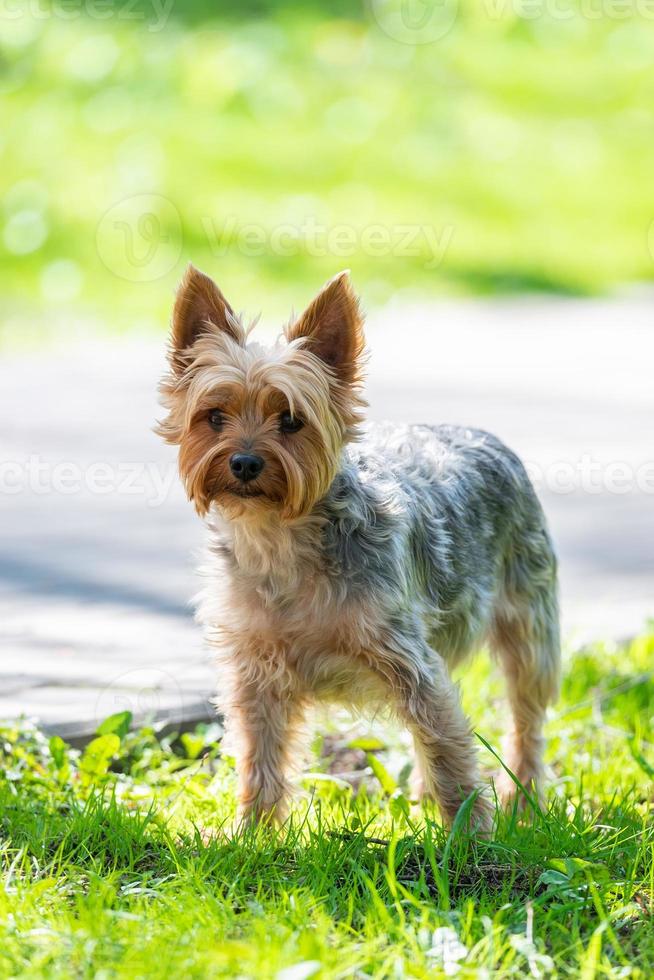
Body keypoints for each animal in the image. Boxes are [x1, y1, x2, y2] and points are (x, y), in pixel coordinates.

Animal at [156, 264, 560, 832]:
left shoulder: (409, 659)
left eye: (291, 420)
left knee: (525, 713)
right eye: (214, 416)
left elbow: (447, 745)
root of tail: (482, 434)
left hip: (529, 619)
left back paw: (521, 801)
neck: (280, 538)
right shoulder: (255, 671)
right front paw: (251, 832)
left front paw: (471, 835)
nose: (244, 462)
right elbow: (261, 754)